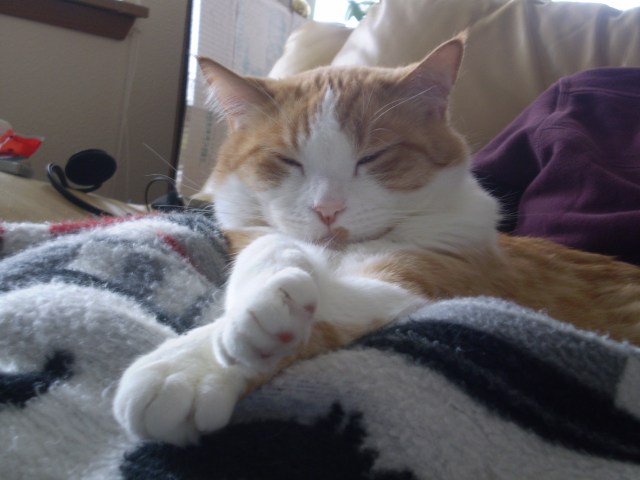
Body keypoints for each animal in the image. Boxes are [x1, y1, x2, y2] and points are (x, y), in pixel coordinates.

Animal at [115, 36, 640, 446]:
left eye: (374, 157)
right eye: (288, 161)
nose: (328, 209)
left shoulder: (415, 281)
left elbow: (329, 306)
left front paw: (190, 366)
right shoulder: (255, 234)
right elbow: (271, 249)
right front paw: (261, 301)